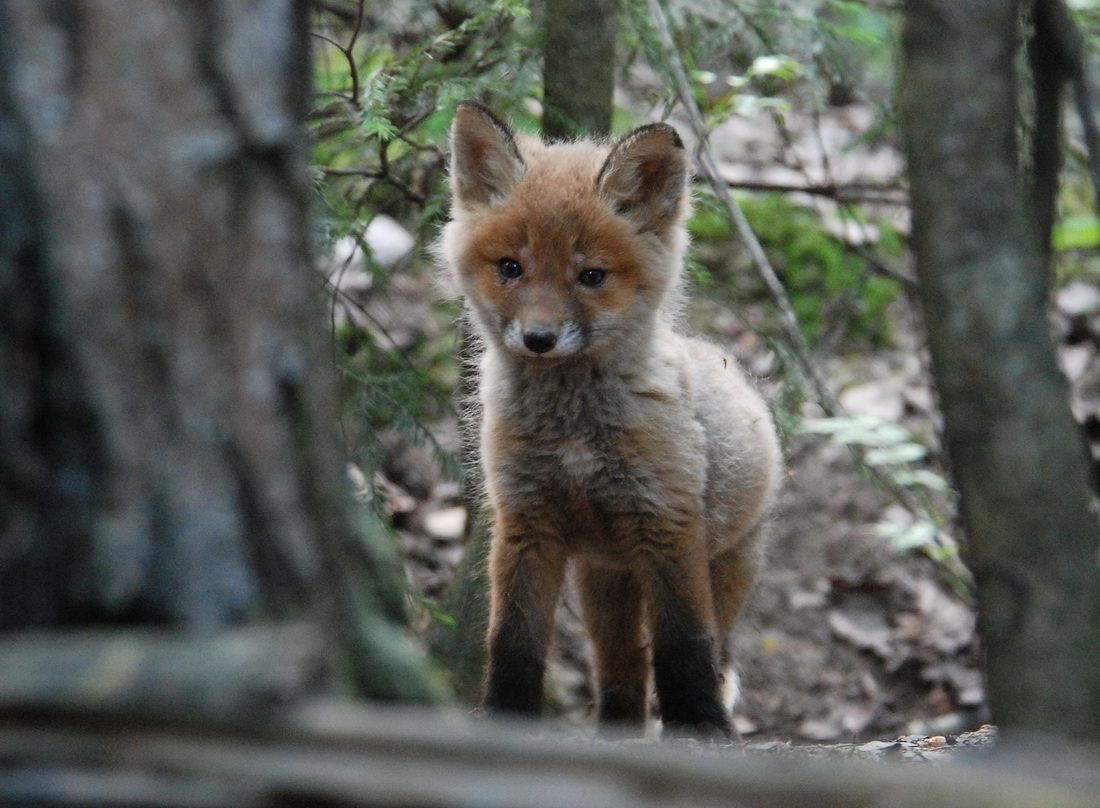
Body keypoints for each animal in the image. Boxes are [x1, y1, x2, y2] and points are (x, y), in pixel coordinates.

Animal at [440, 101, 783, 738]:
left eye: (591, 276)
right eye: (511, 267)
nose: (539, 338)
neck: (574, 437)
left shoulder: (668, 525)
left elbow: (683, 648)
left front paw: (702, 727)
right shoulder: (526, 522)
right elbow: (513, 643)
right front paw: (504, 718)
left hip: (724, 568)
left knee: (713, 650)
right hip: (605, 583)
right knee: (621, 671)